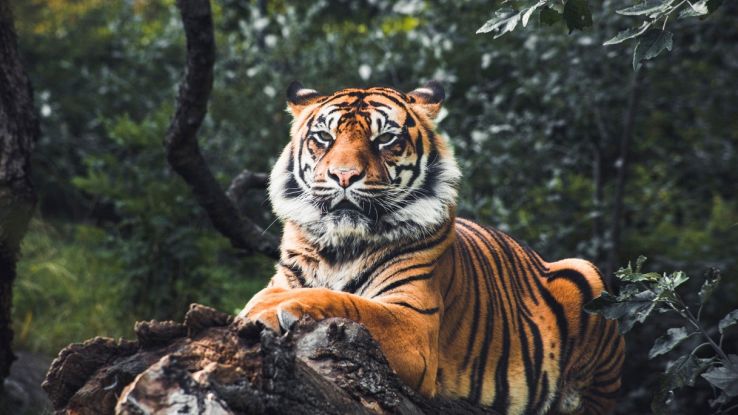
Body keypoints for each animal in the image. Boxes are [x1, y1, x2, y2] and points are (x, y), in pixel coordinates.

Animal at [239, 81, 625, 415]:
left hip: (588, 278)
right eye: (324, 137)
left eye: (385, 139)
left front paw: (266, 309)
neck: (340, 248)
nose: (344, 176)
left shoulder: (414, 323)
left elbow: (348, 302)